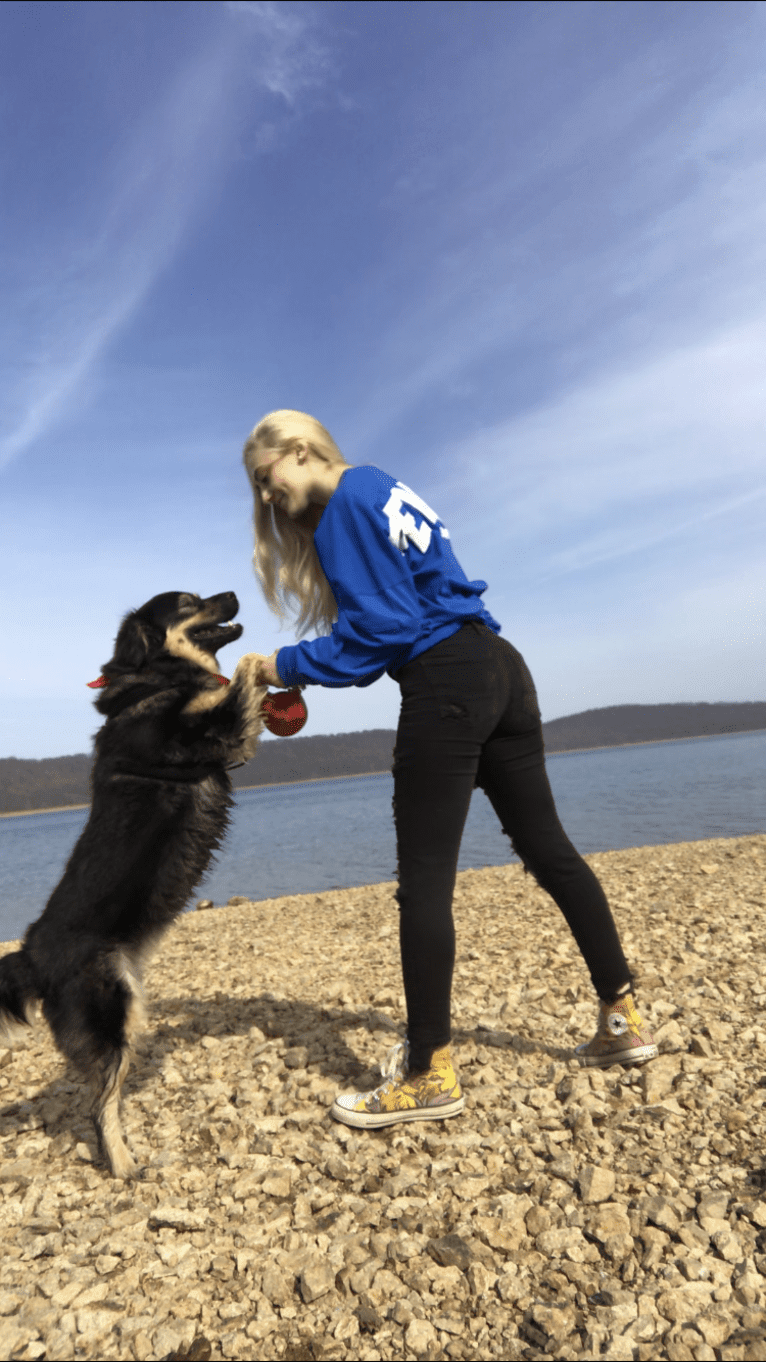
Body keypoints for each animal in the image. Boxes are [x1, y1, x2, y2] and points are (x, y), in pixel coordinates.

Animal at [0, 591, 265, 1176]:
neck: (154, 679)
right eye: (188, 602)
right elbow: (241, 675)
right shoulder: (206, 735)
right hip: (113, 1011)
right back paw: (123, 1164)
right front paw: (269, 662)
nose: (235, 594)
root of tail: (30, 956)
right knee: (99, 1107)